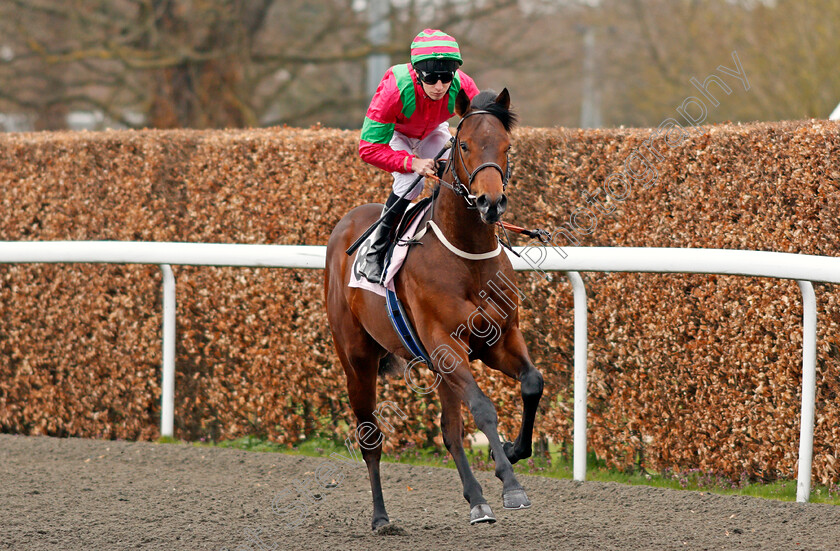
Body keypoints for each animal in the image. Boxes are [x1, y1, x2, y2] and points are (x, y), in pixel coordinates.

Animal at [322, 88, 544, 528]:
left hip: (436, 367)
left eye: (507, 146)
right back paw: (380, 517)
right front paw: (511, 485)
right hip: (357, 359)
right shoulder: (446, 344)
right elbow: (483, 407)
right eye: (464, 145)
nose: (491, 203)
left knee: (449, 431)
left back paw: (476, 500)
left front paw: (512, 451)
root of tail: (345, 223)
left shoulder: (499, 341)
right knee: (369, 435)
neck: (467, 257)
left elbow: (532, 383)